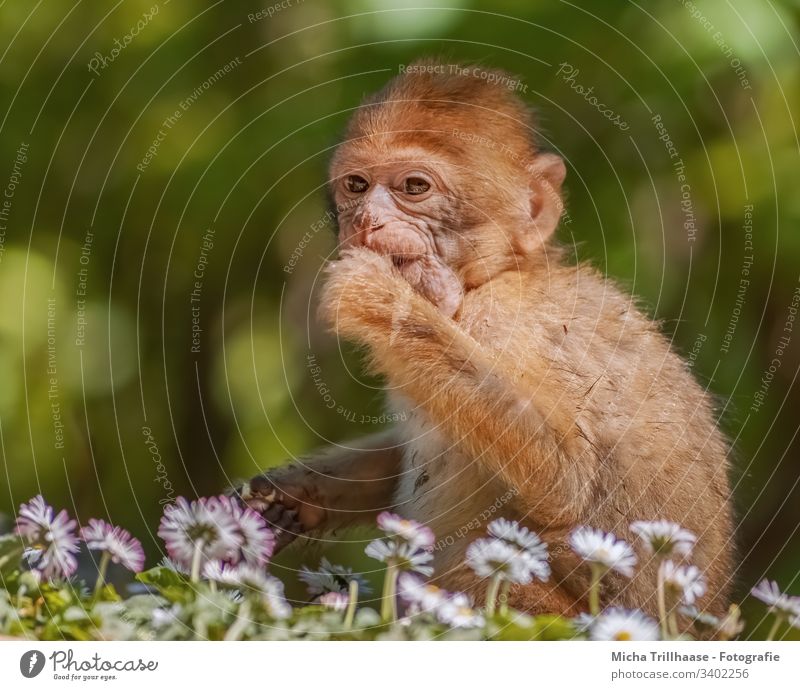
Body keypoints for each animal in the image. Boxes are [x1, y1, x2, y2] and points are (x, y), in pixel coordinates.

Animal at [236, 61, 732, 616]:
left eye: (414, 186)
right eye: (357, 186)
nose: (367, 220)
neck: (488, 278)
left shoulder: (503, 322)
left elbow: (566, 482)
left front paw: (377, 299)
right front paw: (298, 495)